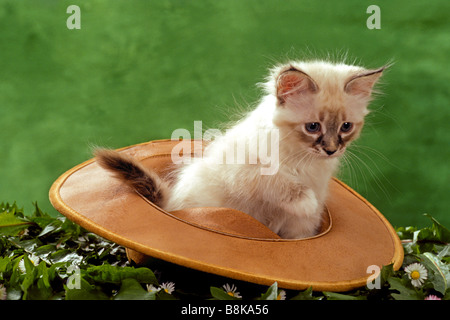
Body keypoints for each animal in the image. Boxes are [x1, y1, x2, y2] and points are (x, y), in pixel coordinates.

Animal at [96, 60, 384, 240]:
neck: (302, 160)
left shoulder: (303, 216)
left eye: (346, 127)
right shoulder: (249, 172)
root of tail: (170, 204)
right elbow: (282, 184)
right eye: (313, 127)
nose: (331, 150)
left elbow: (300, 229)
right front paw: (307, 202)